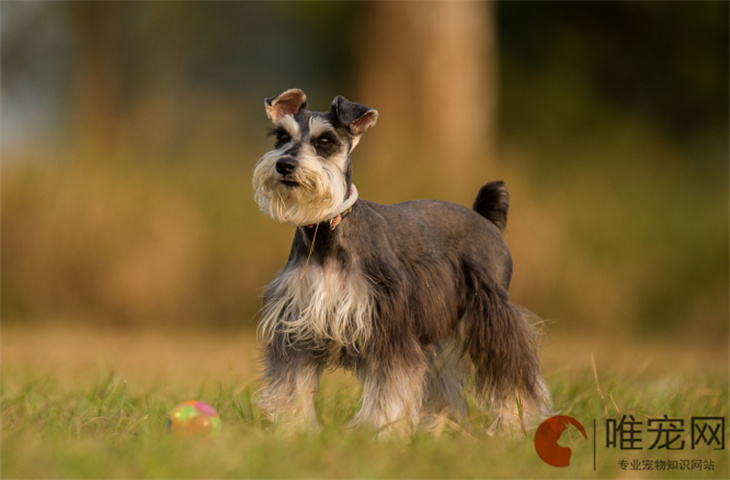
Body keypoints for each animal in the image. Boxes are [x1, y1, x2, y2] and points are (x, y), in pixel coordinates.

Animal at [253, 88, 548, 436]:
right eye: (282, 137)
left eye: (325, 141)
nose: (284, 164)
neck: (327, 234)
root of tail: (483, 217)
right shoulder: (297, 330)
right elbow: (293, 387)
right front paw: (293, 431)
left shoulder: (390, 329)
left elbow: (389, 389)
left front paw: (383, 432)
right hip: (441, 332)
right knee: (445, 382)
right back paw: (438, 430)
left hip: (492, 313)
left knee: (514, 375)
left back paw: (515, 425)